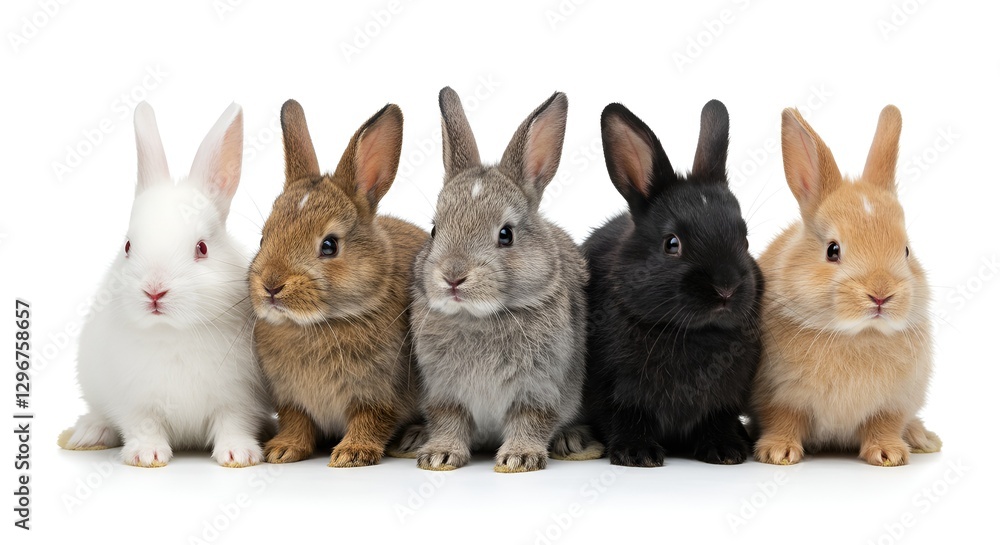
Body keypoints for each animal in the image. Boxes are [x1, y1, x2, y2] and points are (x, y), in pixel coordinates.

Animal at [58, 102, 273, 468]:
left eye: (202, 248)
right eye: (128, 246)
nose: (154, 291)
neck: (174, 332)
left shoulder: (238, 399)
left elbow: (233, 424)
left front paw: (239, 454)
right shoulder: (134, 401)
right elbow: (143, 426)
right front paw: (147, 455)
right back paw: (89, 433)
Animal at [249, 99, 427, 468]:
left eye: (329, 245)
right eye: (262, 238)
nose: (271, 286)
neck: (318, 324)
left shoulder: (379, 393)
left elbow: (370, 420)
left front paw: (351, 454)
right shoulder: (290, 399)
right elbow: (297, 421)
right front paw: (282, 450)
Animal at [410, 87, 601, 473]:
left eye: (506, 235)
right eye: (435, 230)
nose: (453, 276)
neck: (478, 318)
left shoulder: (539, 388)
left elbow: (531, 420)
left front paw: (519, 458)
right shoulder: (443, 392)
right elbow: (448, 420)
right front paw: (439, 456)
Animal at [583, 100, 764, 467]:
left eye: (745, 240)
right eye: (672, 244)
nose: (726, 288)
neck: (692, 333)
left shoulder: (726, 398)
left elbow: (717, 419)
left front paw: (726, 450)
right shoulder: (612, 391)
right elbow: (624, 417)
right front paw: (638, 453)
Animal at [750, 105, 942, 466]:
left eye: (906, 250)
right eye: (832, 250)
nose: (881, 294)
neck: (855, 334)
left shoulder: (894, 402)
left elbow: (884, 424)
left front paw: (889, 454)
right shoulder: (778, 396)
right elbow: (783, 419)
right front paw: (778, 453)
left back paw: (922, 438)